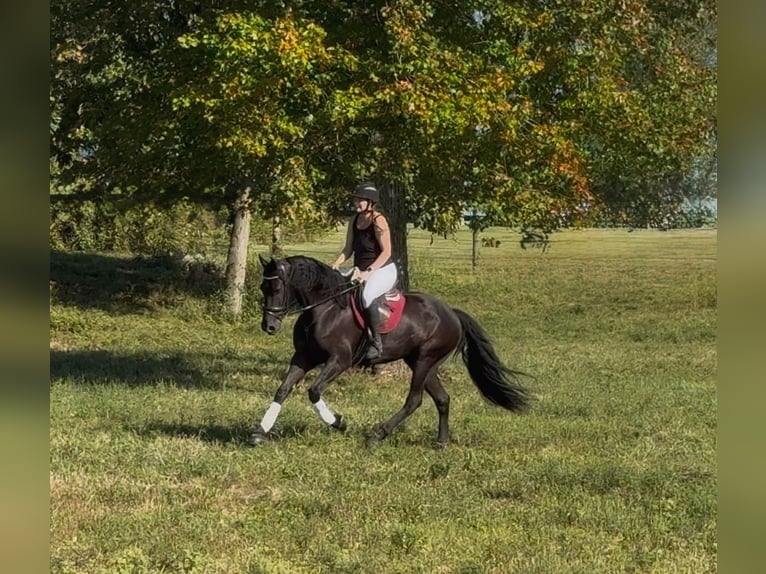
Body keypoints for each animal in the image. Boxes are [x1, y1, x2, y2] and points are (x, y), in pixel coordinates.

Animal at [251, 255, 530, 446]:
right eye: (263, 288)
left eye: (277, 288)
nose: (269, 326)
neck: (324, 309)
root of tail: (452, 314)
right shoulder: (303, 357)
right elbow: (283, 390)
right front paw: (260, 432)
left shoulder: (339, 361)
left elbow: (314, 391)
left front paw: (339, 422)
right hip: (422, 362)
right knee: (442, 399)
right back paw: (441, 442)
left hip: (425, 360)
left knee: (414, 400)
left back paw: (378, 434)